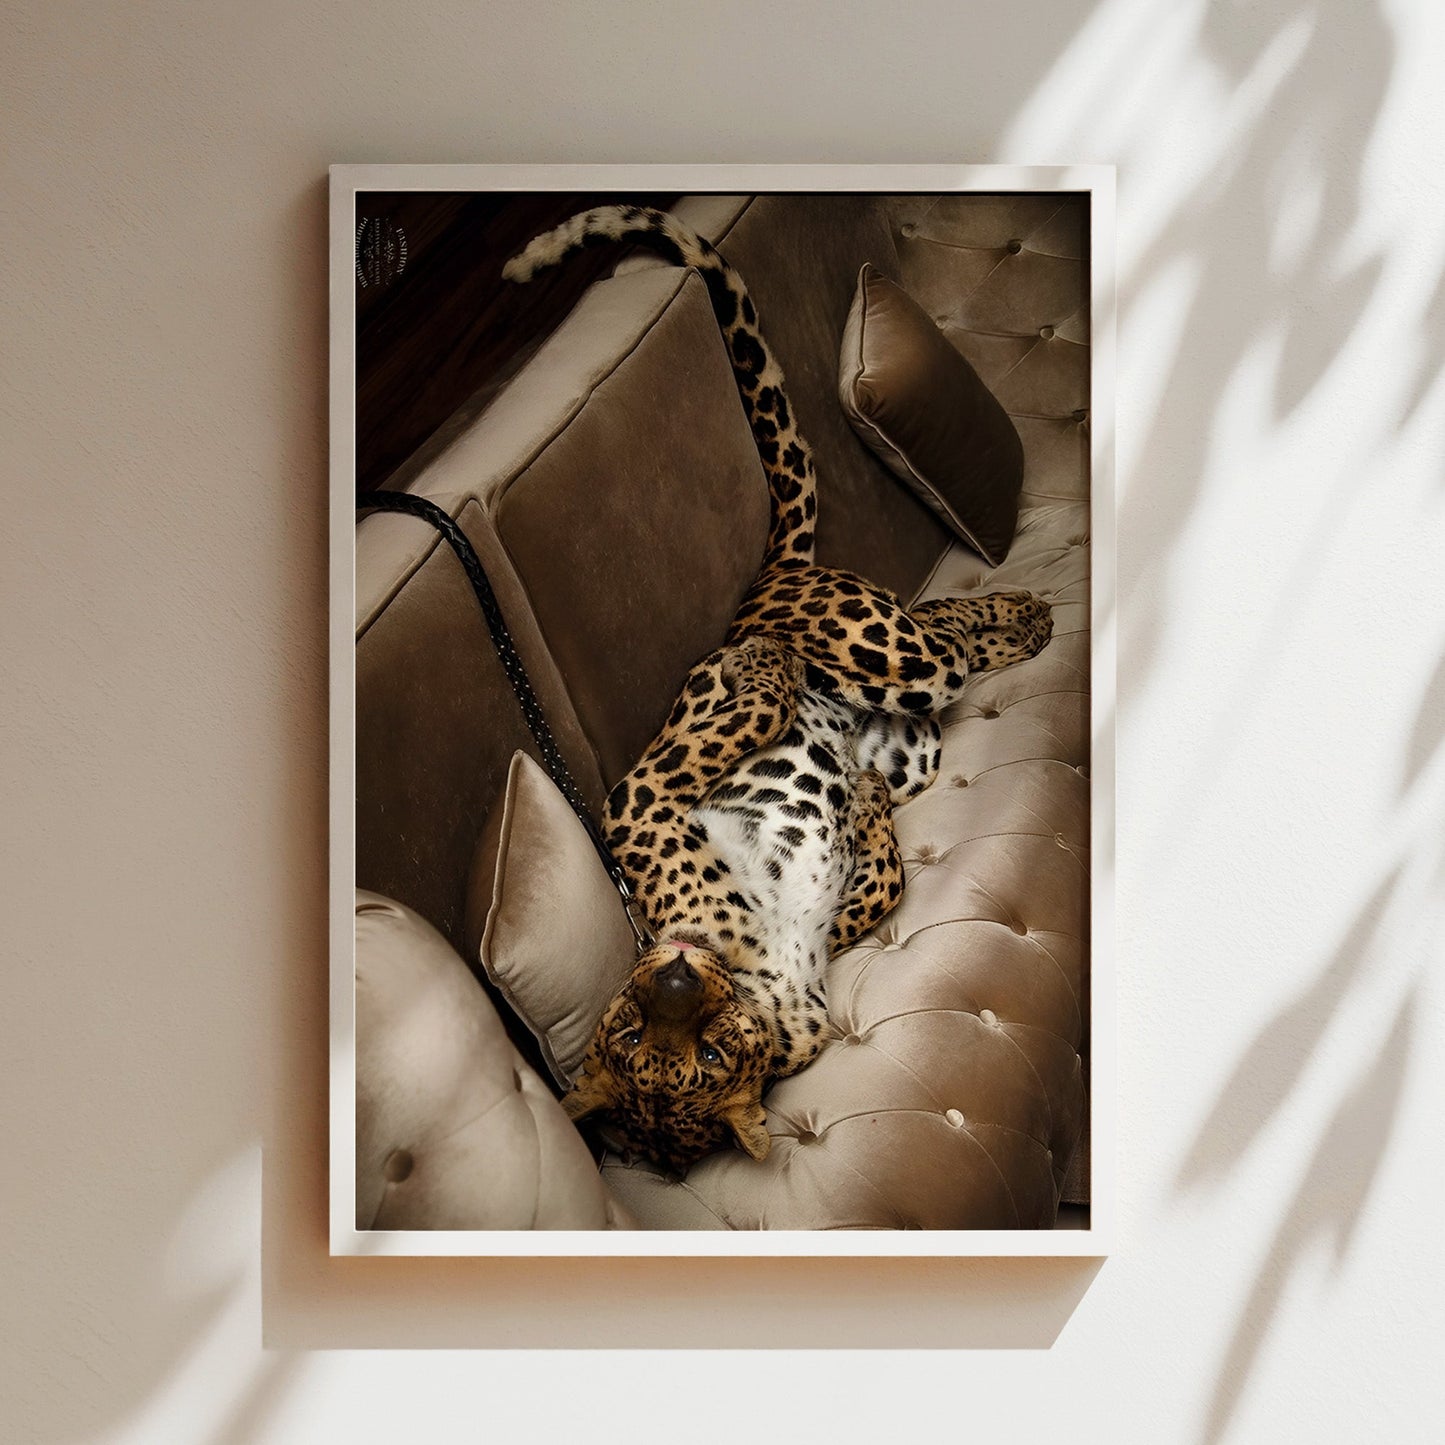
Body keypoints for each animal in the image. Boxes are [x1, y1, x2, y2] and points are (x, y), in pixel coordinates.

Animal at [503, 205, 1052, 1174]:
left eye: (686, 1045)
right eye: (644, 1045)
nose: (673, 972)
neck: (757, 979)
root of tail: (768, 580)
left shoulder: (632, 802)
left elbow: (743, 720)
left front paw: (762, 677)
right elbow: (884, 880)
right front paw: (861, 811)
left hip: (882, 649)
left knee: (941, 625)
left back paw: (1014, 614)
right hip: (909, 727)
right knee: (943, 635)